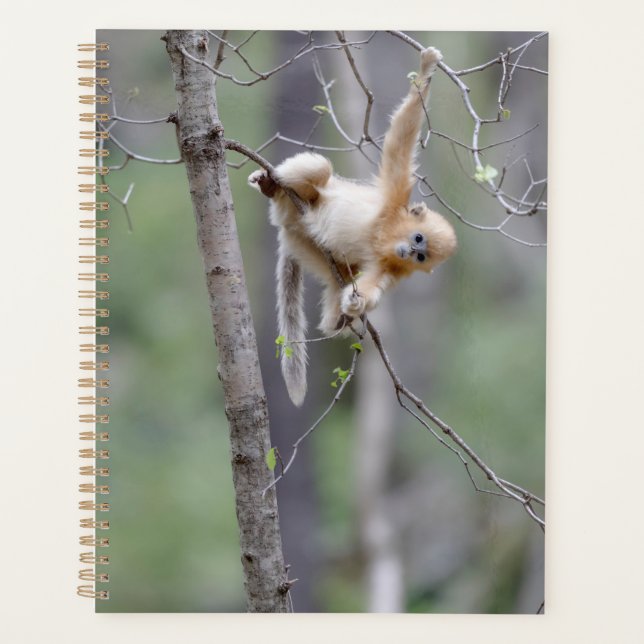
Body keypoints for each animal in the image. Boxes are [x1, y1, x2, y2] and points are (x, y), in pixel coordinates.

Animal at [248, 46, 457, 406]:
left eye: (421, 256)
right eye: (417, 238)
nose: (409, 250)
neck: (384, 236)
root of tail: (288, 222)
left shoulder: (390, 268)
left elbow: (370, 286)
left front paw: (357, 304)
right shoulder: (393, 198)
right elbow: (400, 142)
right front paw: (427, 70)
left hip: (306, 245)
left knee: (338, 282)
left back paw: (339, 318)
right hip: (302, 201)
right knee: (320, 168)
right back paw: (272, 185)